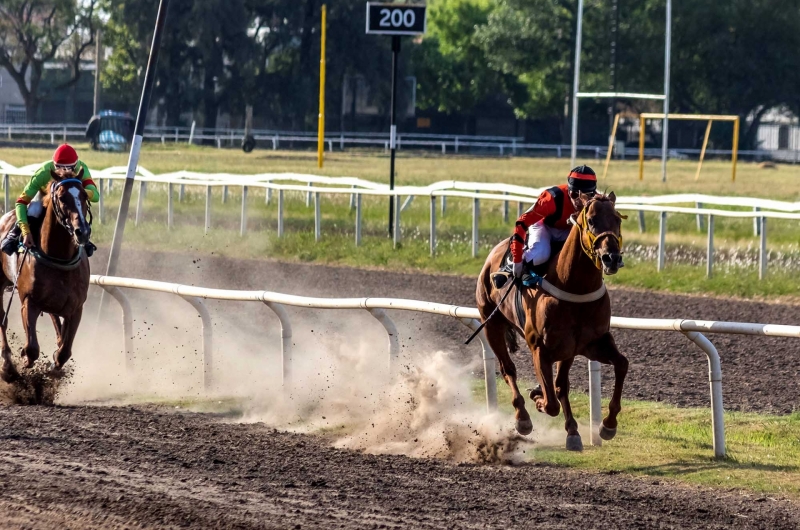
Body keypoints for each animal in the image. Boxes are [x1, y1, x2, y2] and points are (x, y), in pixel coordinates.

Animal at [0, 169, 91, 380]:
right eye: (62, 197)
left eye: (84, 195)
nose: (82, 232)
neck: (58, 257)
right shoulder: (29, 302)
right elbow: (32, 348)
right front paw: (25, 359)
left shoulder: (76, 307)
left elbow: (64, 351)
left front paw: (54, 367)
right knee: (2, 319)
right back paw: (7, 366)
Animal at [478, 192, 628, 448]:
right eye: (591, 220)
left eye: (617, 219)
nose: (612, 258)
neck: (574, 287)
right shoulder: (539, 348)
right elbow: (550, 404)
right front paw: (537, 398)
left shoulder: (591, 343)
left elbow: (622, 364)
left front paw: (608, 425)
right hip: (492, 324)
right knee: (508, 370)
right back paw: (523, 418)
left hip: (567, 350)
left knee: (560, 385)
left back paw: (572, 432)